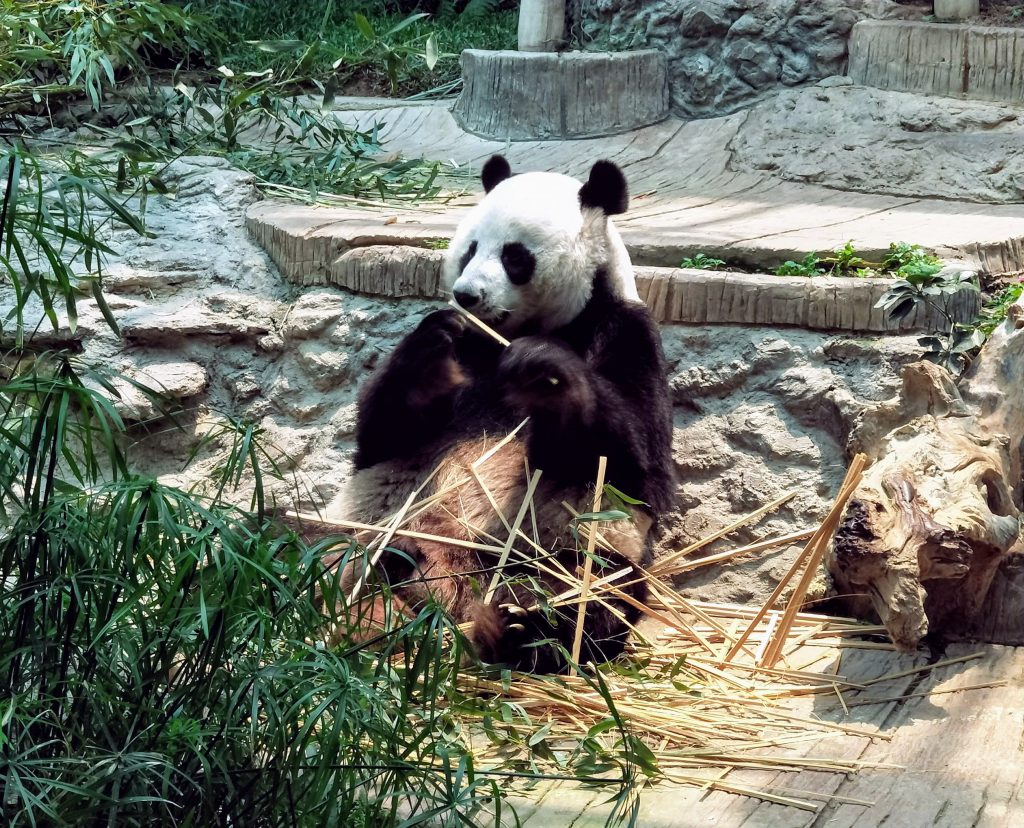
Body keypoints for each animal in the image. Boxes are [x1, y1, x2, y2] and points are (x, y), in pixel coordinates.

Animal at [327, 155, 674, 673]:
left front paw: (543, 370)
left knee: (590, 595)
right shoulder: (473, 346)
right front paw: (434, 344)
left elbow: (636, 466)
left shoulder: (625, 331)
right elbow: (381, 438)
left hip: (560, 549)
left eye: (515, 257)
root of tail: (453, 594)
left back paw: (514, 631)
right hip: (362, 528)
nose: (466, 295)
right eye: (470, 250)